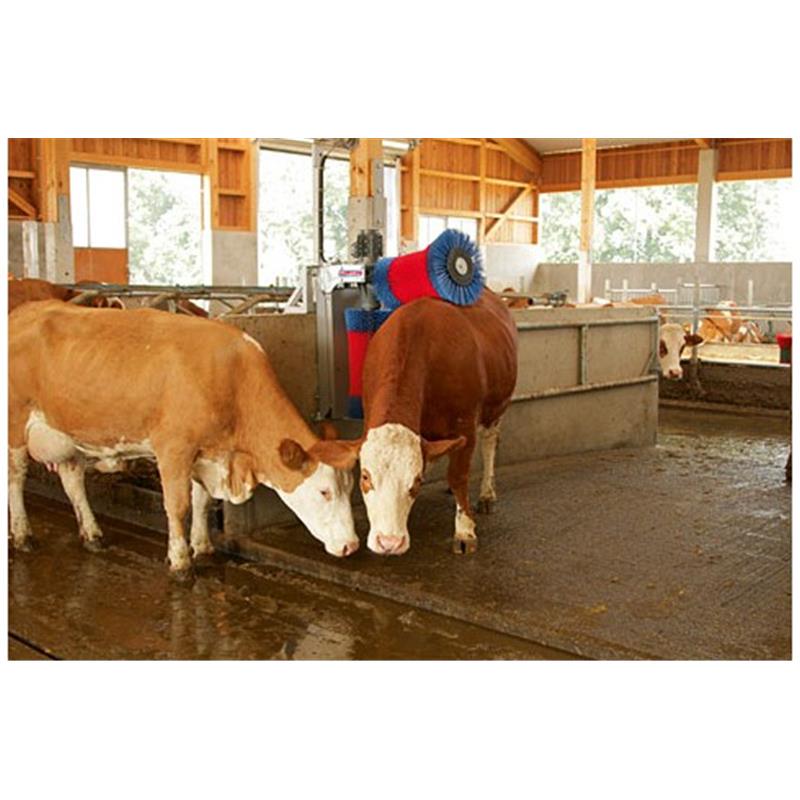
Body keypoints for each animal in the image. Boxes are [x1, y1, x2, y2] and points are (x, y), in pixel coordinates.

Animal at [8, 301, 360, 578]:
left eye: (350, 488)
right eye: (324, 491)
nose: (351, 545)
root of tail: (24, 312)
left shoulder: (205, 453)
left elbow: (202, 502)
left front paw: (202, 547)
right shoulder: (173, 448)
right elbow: (178, 506)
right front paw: (180, 562)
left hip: (64, 433)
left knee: (72, 481)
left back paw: (92, 534)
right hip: (15, 426)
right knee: (15, 479)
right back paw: (23, 535)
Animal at [335, 290, 518, 556]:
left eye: (416, 481)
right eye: (365, 477)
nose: (389, 542)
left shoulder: (465, 426)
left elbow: (458, 475)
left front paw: (465, 530)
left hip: (496, 408)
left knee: (490, 445)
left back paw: (486, 495)